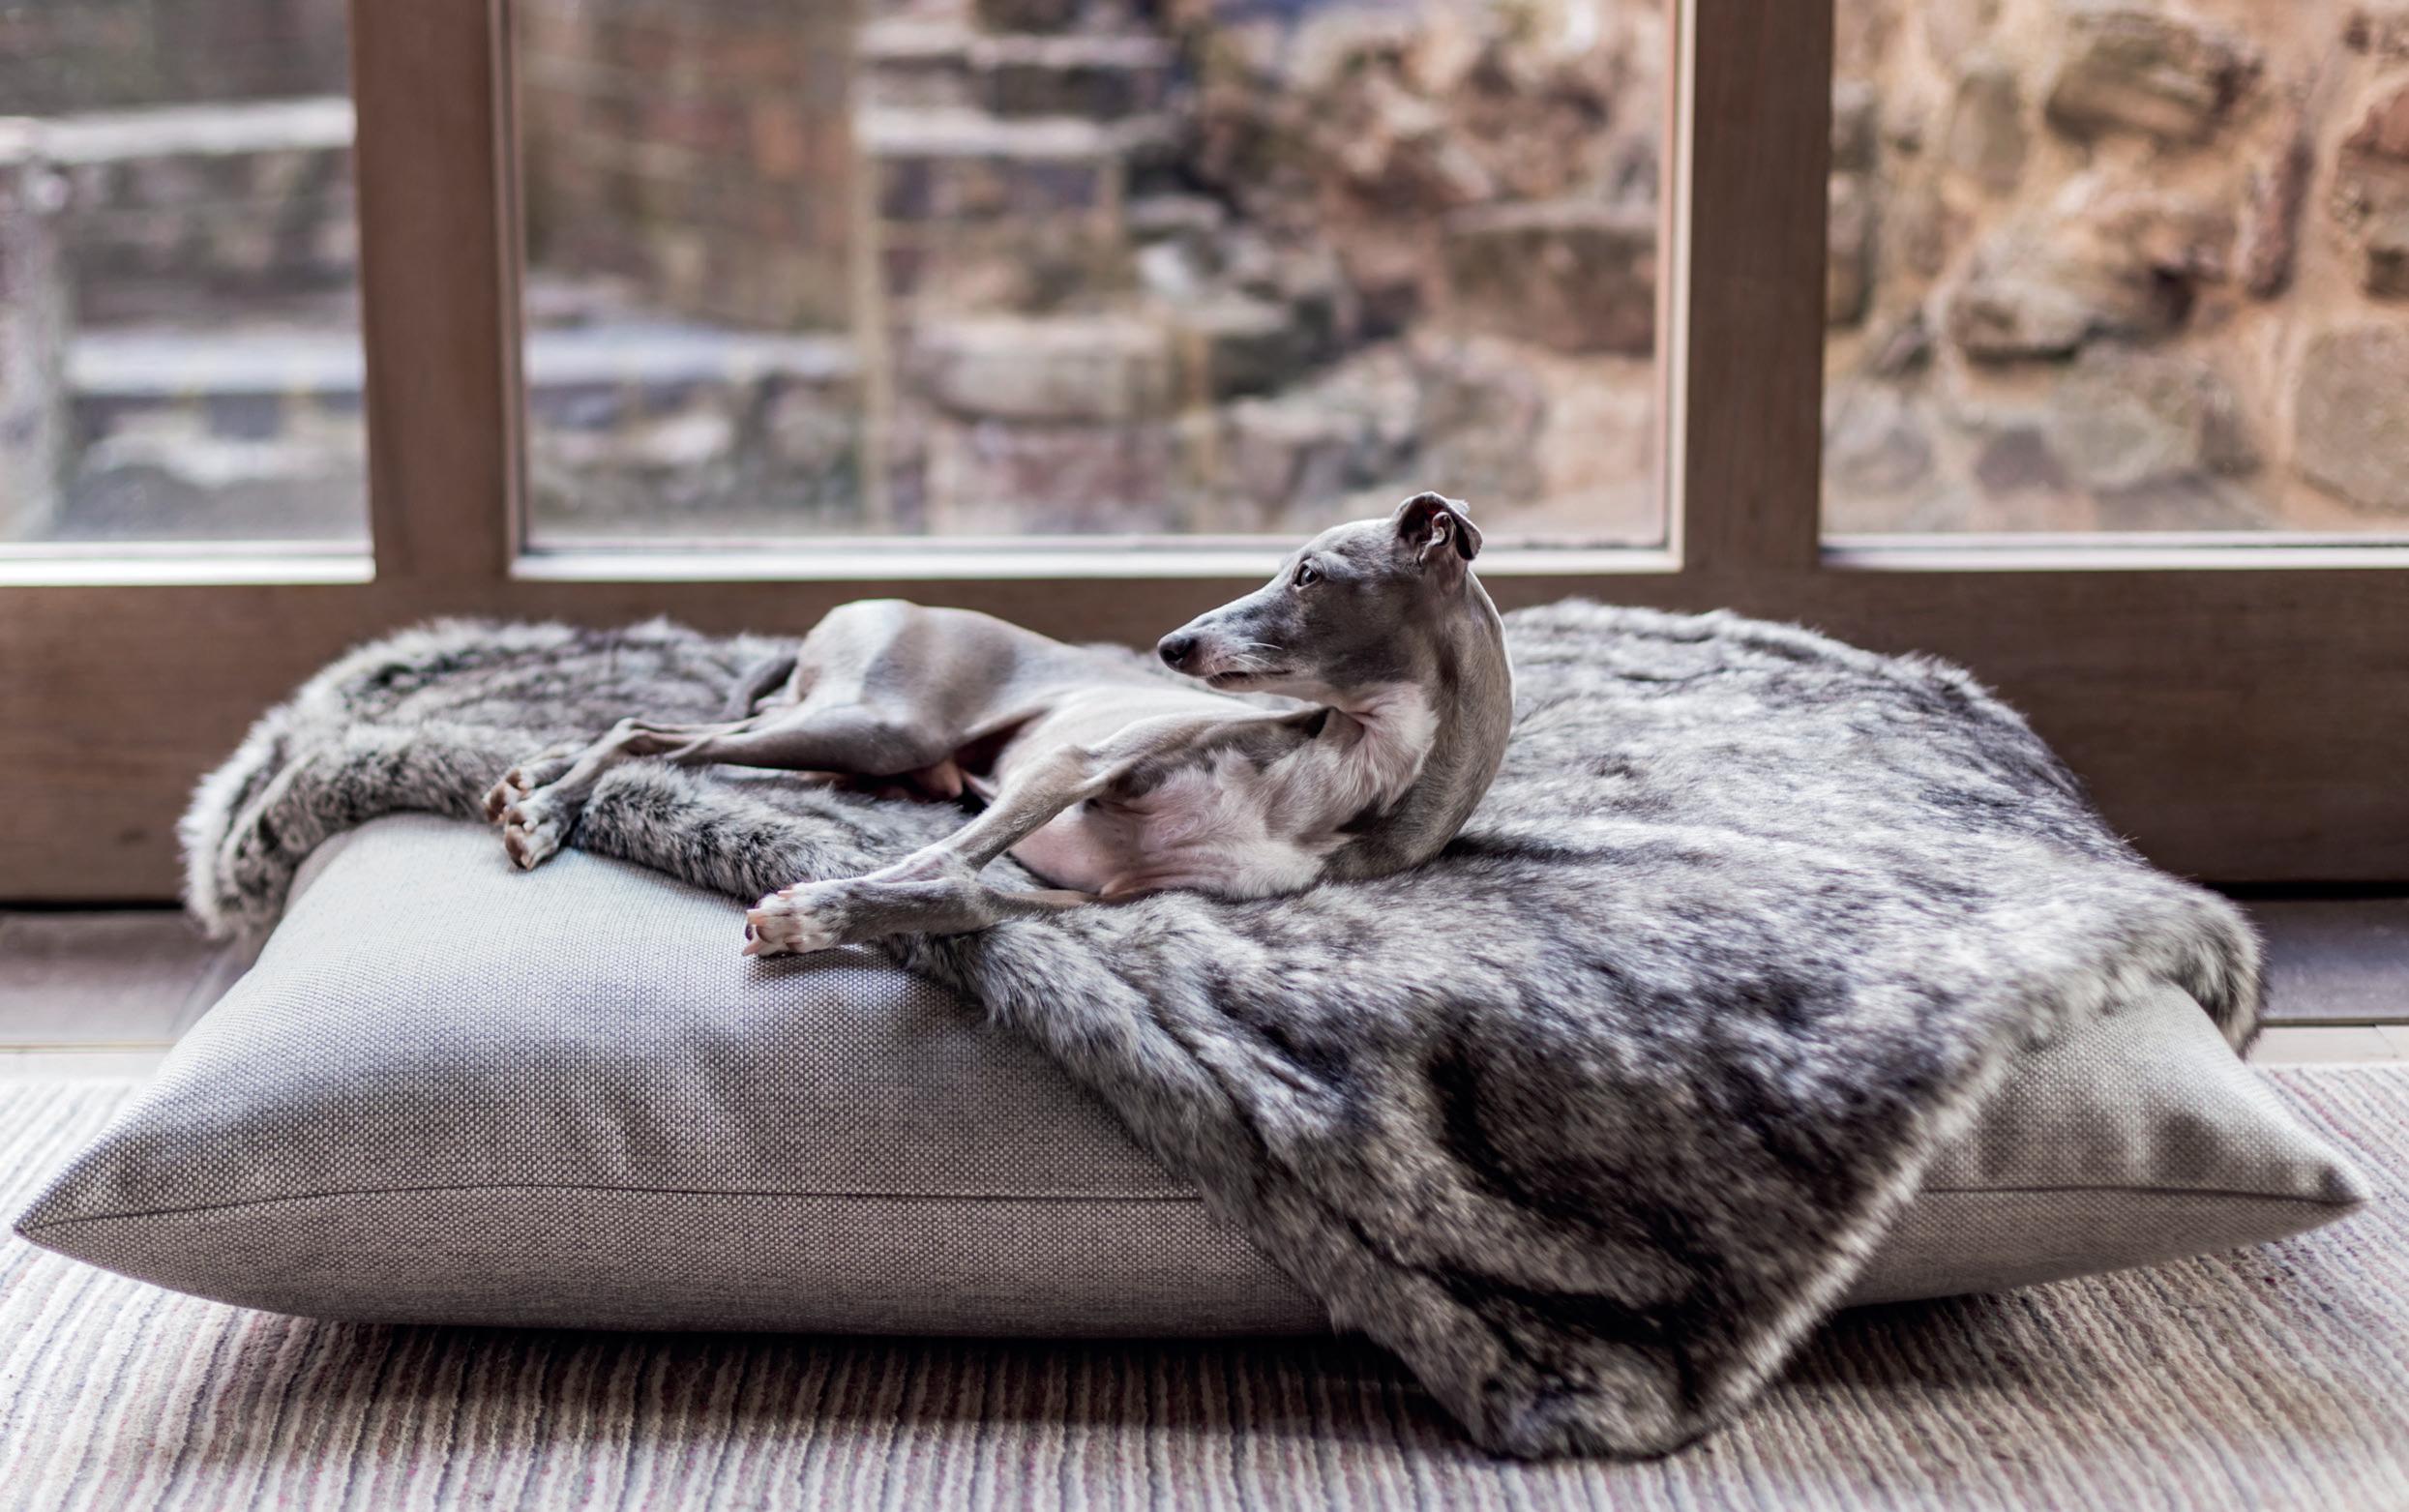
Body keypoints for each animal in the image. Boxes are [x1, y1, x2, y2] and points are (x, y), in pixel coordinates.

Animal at [480, 492, 1514, 956]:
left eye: (1308, 573)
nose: (1172, 644)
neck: (1331, 777)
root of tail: (864, 606)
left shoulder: (1107, 901)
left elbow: (965, 895)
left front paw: (827, 913)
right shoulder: (1077, 764)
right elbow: (941, 859)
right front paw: (833, 899)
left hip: (856, 735)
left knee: (685, 729)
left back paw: (530, 777)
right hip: (878, 720)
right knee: (646, 731)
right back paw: (542, 811)